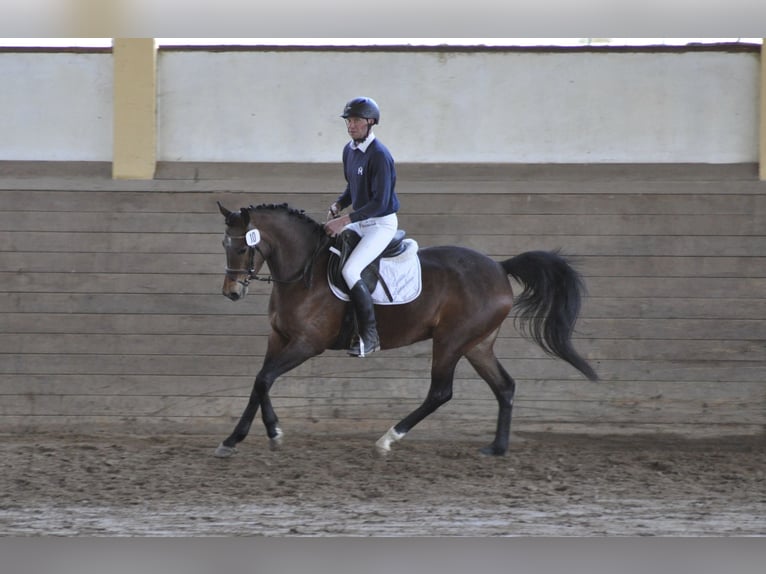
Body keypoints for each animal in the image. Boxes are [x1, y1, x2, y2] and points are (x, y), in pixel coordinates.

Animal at [216, 202, 600, 460]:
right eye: (224, 245)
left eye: (242, 246)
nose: (231, 293)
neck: (303, 273)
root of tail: (499, 268)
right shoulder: (278, 338)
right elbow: (259, 382)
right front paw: (233, 440)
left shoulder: (307, 344)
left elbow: (265, 379)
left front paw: (274, 432)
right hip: (477, 344)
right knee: (504, 387)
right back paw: (496, 448)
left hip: (451, 341)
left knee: (440, 392)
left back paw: (388, 438)